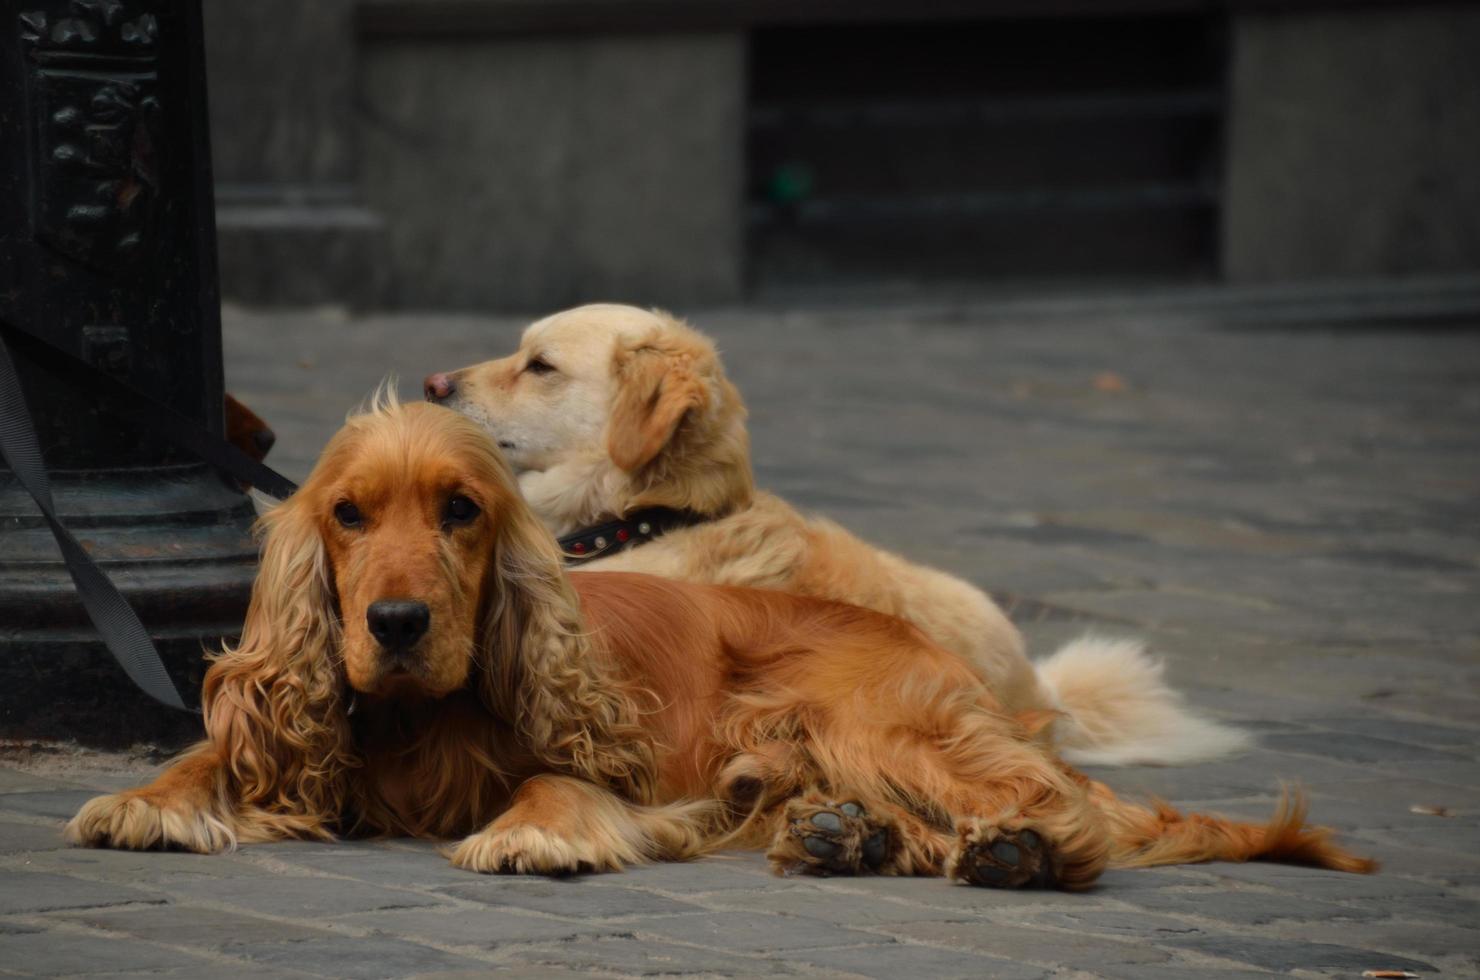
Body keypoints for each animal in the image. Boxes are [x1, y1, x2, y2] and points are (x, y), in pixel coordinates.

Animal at [63, 399, 1367, 888]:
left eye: (461, 511)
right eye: (346, 514)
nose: (393, 623)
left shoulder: (626, 761)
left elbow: (557, 776)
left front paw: (531, 830)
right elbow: (210, 754)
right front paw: (151, 797)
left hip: (873, 717)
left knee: (1057, 803)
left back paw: (1018, 849)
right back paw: (847, 835)